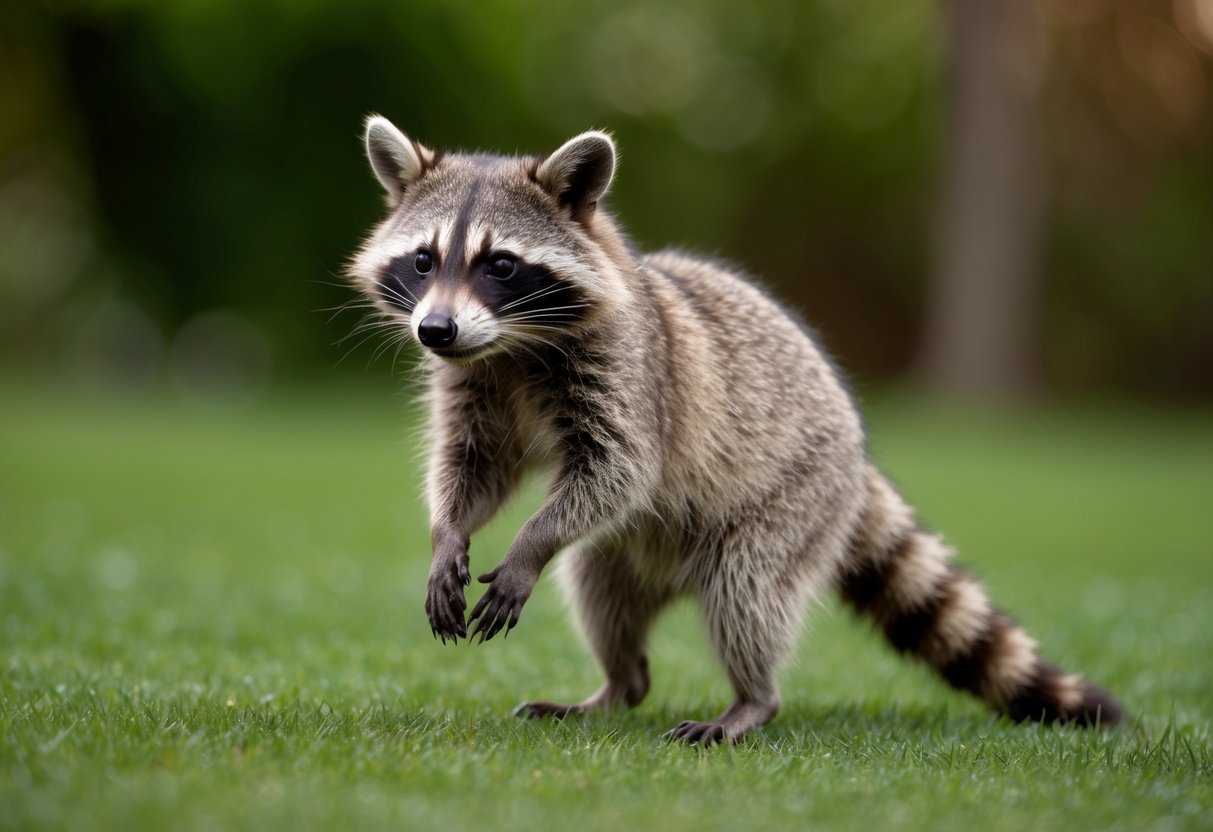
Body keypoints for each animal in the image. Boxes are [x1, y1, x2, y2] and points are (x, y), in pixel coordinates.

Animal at [346, 115, 1124, 744]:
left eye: (501, 265)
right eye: (423, 260)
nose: (435, 329)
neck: (510, 346)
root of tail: (858, 453)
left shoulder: (633, 377)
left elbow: (619, 471)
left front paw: (527, 545)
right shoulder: (472, 383)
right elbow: (474, 467)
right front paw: (448, 535)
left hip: (797, 499)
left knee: (745, 590)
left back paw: (751, 700)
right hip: (636, 550)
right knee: (599, 586)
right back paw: (616, 684)